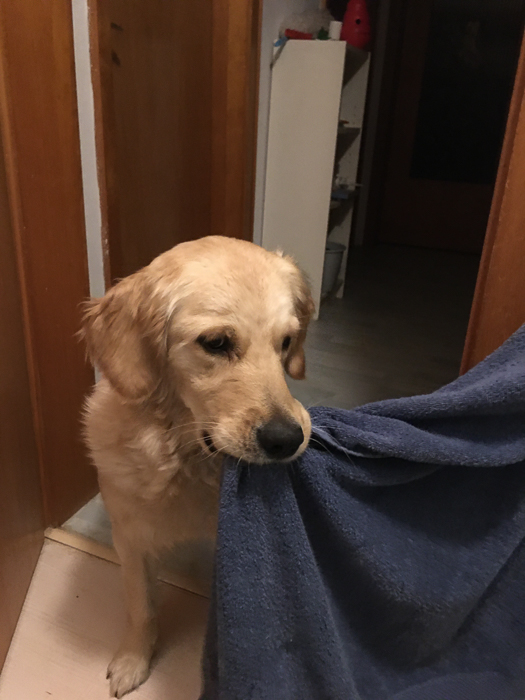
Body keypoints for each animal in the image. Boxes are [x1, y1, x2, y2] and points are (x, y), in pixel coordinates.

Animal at [81, 236, 314, 697]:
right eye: (216, 343)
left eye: (286, 342)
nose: (286, 439)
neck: (188, 459)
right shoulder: (130, 539)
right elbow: (141, 607)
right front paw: (133, 660)